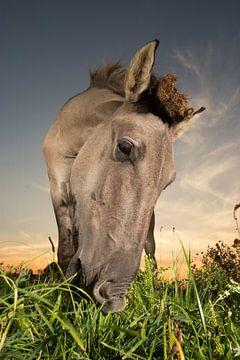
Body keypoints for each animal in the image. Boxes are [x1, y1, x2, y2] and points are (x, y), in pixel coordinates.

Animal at [43, 40, 204, 312]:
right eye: (125, 147)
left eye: (168, 182)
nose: (113, 296)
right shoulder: (58, 187)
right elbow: (65, 247)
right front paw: (65, 295)